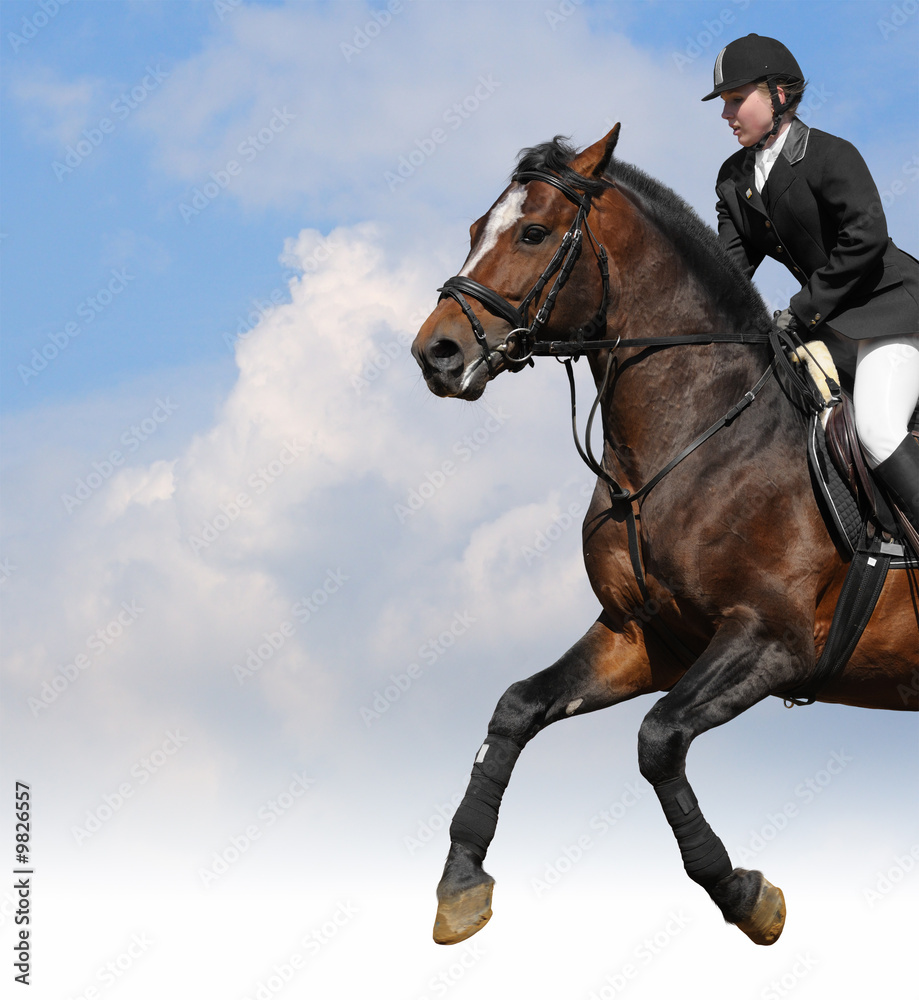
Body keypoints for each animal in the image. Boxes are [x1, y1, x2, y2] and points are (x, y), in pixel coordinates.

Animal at [410, 126, 919, 948]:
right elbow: (515, 709)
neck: (693, 431)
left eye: (532, 232)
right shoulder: (645, 638)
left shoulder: (772, 641)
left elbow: (656, 740)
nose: (436, 354)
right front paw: (460, 883)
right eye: (475, 229)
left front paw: (745, 894)